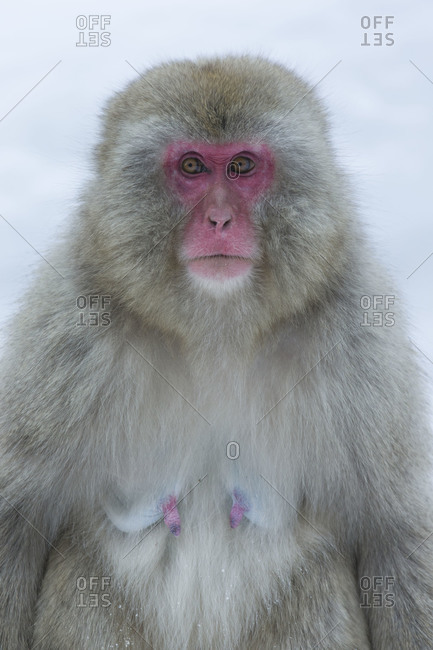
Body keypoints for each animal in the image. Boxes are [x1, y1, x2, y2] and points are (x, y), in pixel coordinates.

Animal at [0, 55, 432, 649]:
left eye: (243, 166)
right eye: (192, 166)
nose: (220, 221)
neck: (217, 331)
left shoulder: (359, 345)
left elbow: (394, 534)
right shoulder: (67, 338)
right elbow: (17, 521)